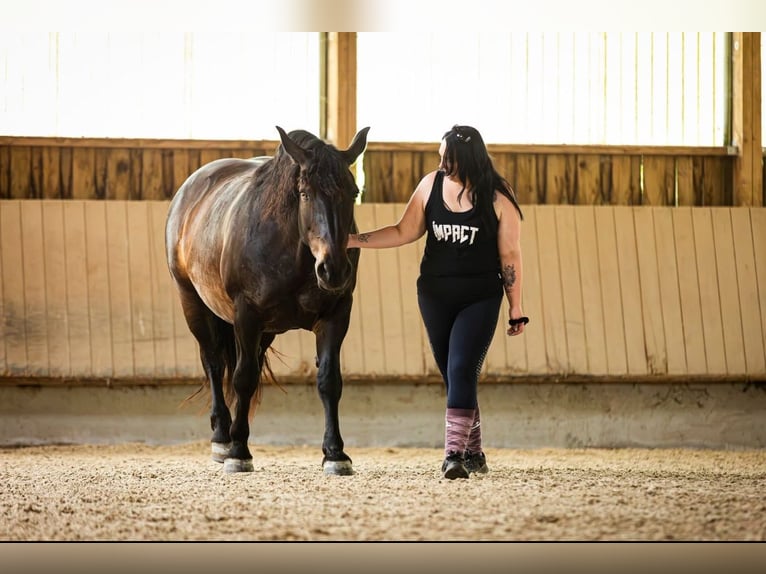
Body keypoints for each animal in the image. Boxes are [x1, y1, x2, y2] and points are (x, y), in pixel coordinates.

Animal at [165, 126, 370, 474]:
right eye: (305, 193)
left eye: (353, 192)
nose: (333, 269)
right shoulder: (246, 314)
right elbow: (242, 377)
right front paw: (238, 452)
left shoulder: (336, 314)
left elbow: (329, 380)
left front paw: (335, 453)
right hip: (192, 302)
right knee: (214, 363)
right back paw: (223, 438)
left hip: (265, 330)